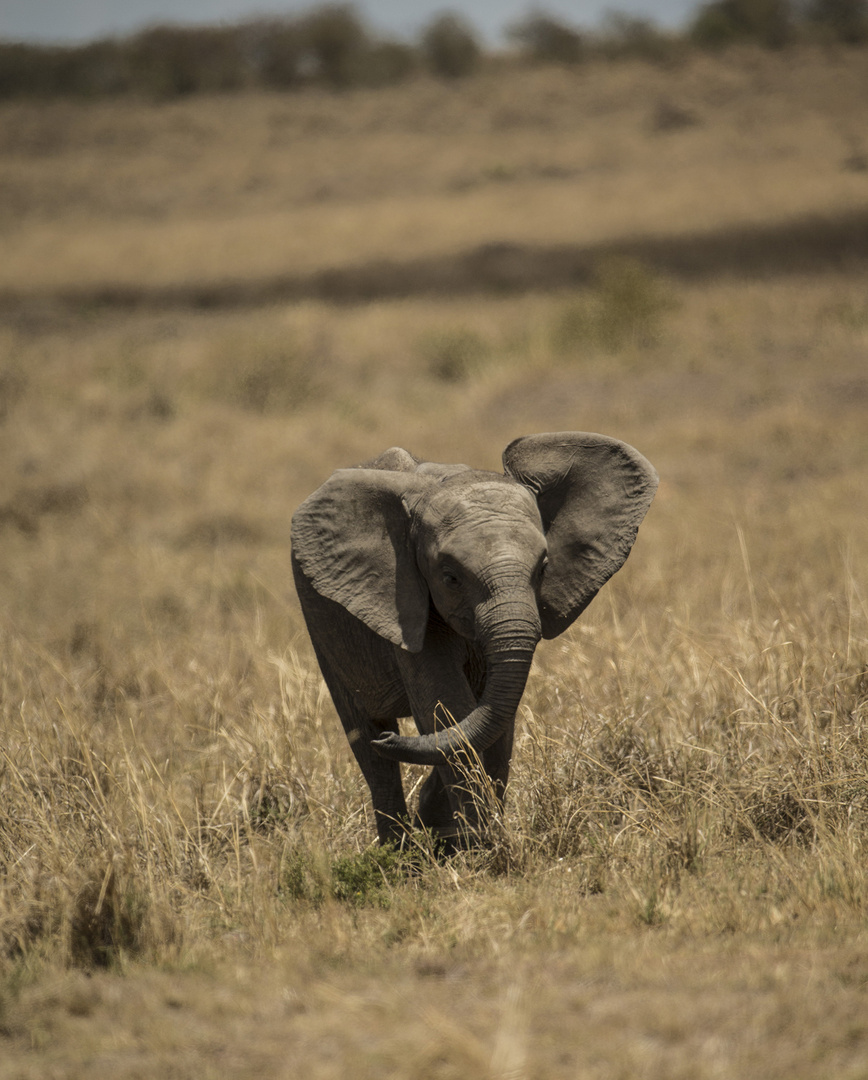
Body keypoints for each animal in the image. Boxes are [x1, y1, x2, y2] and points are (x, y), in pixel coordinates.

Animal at [291, 434, 656, 846]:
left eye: (544, 567)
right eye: (450, 577)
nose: (387, 740)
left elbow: (488, 713)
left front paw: (470, 838)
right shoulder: (407, 597)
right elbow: (446, 704)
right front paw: (482, 847)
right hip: (321, 621)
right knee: (364, 736)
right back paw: (397, 848)